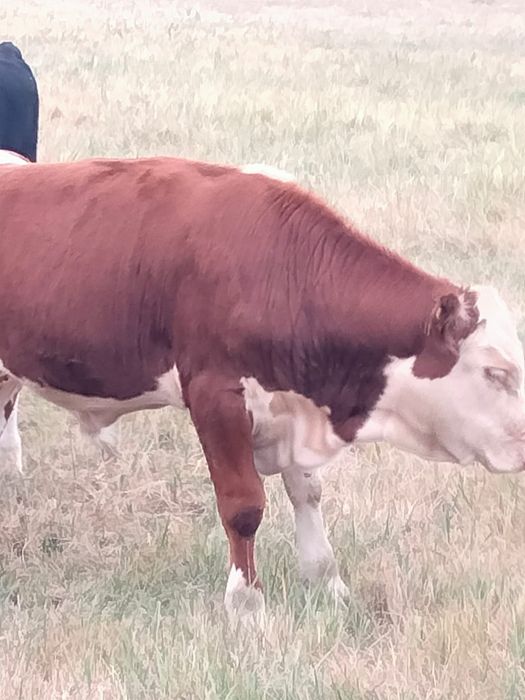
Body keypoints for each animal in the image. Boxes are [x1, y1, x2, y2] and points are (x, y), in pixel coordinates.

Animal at [0, 156, 523, 625]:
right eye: (495, 372)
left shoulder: (292, 402)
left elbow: (308, 492)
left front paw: (327, 581)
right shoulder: (215, 396)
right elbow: (243, 507)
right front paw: (246, 606)